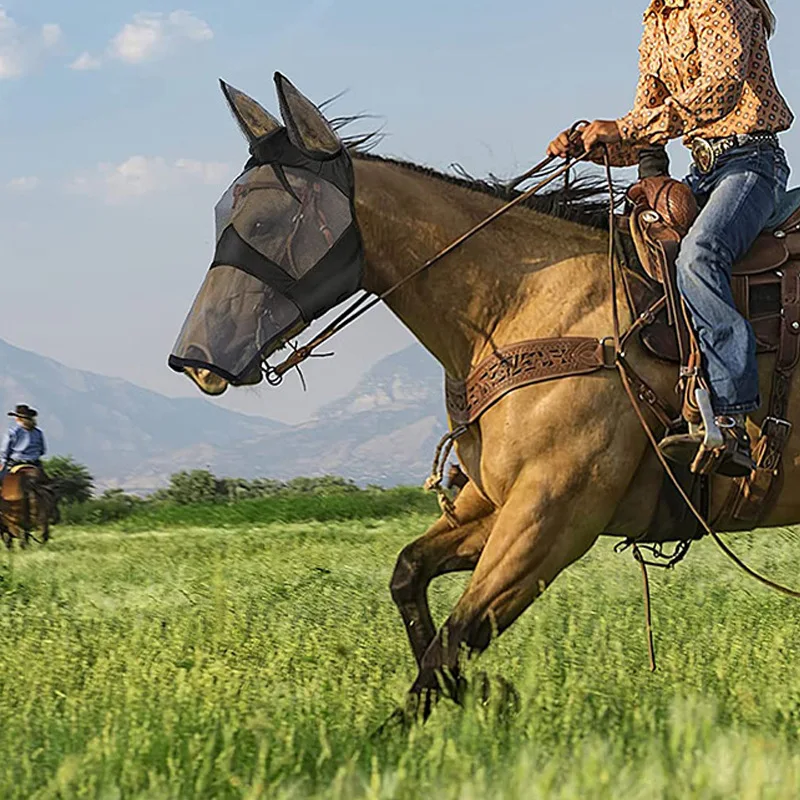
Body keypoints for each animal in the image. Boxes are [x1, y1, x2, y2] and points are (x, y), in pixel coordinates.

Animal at [169, 75, 800, 716]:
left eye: (267, 223)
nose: (193, 360)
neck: (522, 303)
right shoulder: (495, 501)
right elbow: (410, 575)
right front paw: (474, 695)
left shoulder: (554, 515)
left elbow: (456, 637)